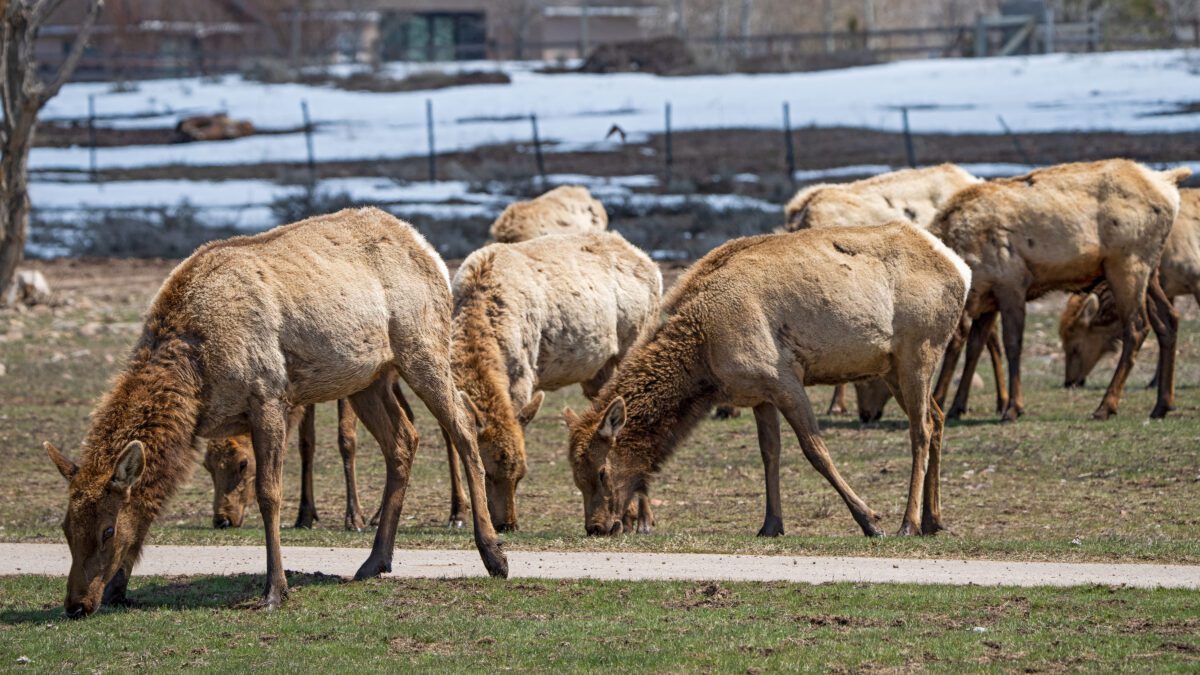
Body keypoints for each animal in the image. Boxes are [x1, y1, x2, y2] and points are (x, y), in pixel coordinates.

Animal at [44, 207, 506, 618]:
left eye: (107, 529)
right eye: (66, 527)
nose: (76, 603)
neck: (195, 373)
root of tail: (427, 248)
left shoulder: (268, 395)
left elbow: (269, 494)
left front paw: (274, 590)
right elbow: (154, 500)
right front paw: (118, 589)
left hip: (422, 347)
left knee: (463, 426)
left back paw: (492, 554)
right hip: (368, 377)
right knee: (404, 440)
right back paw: (376, 560)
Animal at [450, 231, 662, 534]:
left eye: (521, 475)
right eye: (486, 473)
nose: (507, 524)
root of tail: (653, 267)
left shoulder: (523, 377)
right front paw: (457, 514)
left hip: (635, 339)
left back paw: (642, 519)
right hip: (599, 370)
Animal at [566, 222, 970, 539]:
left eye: (601, 472)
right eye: (576, 475)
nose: (596, 527)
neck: (703, 361)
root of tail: (961, 269)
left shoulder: (784, 377)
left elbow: (815, 450)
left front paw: (869, 519)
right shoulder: (757, 393)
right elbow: (769, 453)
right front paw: (771, 524)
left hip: (919, 350)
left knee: (920, 429)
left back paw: (909, 522)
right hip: (890, 367)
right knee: (937, 418)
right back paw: (934, 519)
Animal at [782, 163, 1004, 422]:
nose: (866, 414)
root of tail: (973, 179)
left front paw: (837, 405)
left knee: (966, 336)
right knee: (988, 337)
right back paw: (997, 402)